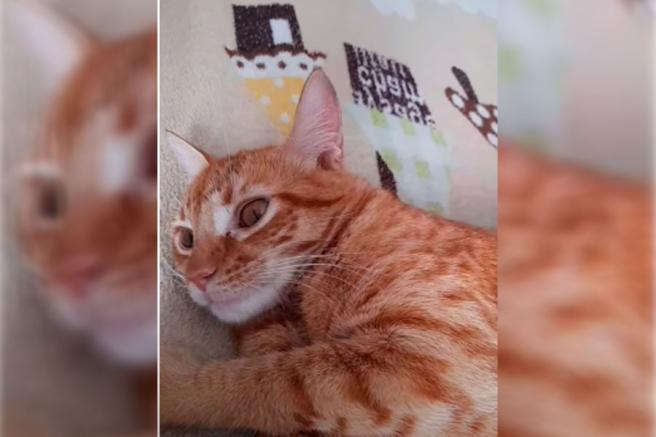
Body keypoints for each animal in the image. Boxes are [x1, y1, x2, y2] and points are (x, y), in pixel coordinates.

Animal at [161, 69, 497, 436]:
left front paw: (173, 383)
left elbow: (260, 378)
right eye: (186, 238)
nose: (196, 277)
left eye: (252, 213)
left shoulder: (428, 353)